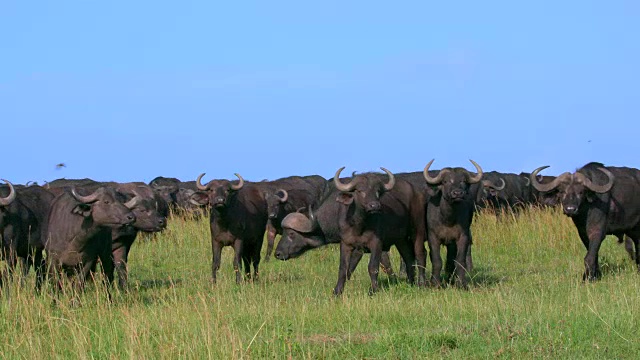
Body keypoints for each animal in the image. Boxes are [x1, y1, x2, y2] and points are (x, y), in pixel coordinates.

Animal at [420, 159, 484, 288]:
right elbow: (436, 260)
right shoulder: (433, 237)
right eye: (445, 181)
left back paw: (451, 278)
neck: (447, 219)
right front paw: (435, 283)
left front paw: (461, 283)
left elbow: (459, 260)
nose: (457, 193)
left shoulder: (462, 237)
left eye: (463, 181)